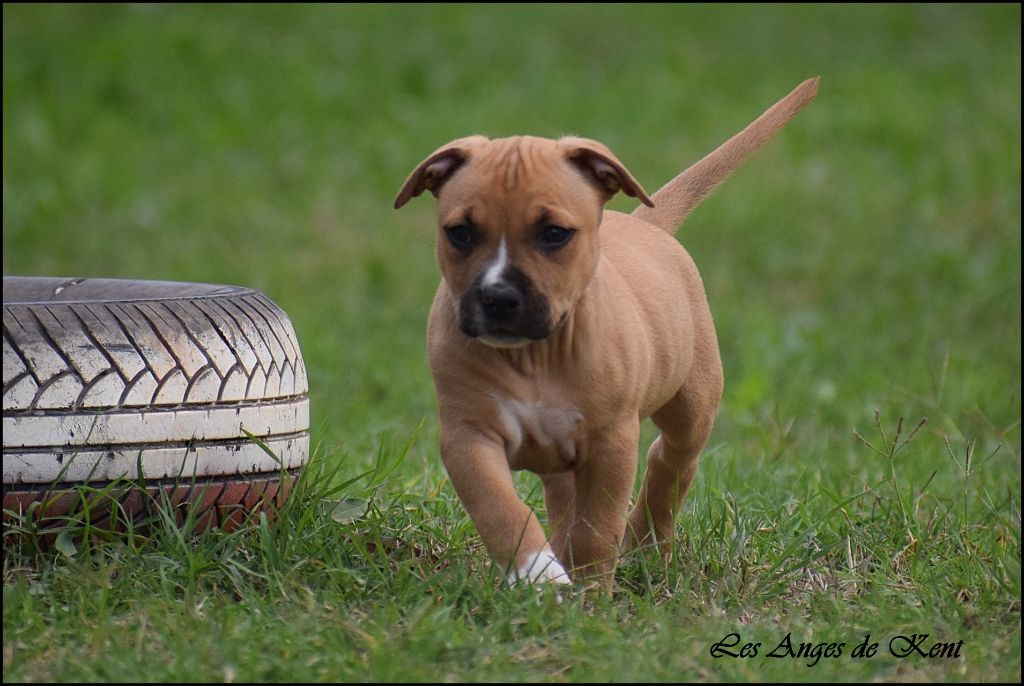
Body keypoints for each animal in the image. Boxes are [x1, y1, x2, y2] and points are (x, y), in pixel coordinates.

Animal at [391, 77, 815, 589]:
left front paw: (592, 592)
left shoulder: (610, 444)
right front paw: (540, 575)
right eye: (460, 233)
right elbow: (502, 511)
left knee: (670, 461)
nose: (498, 297)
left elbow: (596, 529)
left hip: (691, 406)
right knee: (564, 498)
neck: (535, 357)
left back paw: (647, 543)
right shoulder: (468, 436)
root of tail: (642, 222)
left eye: (554, 233)